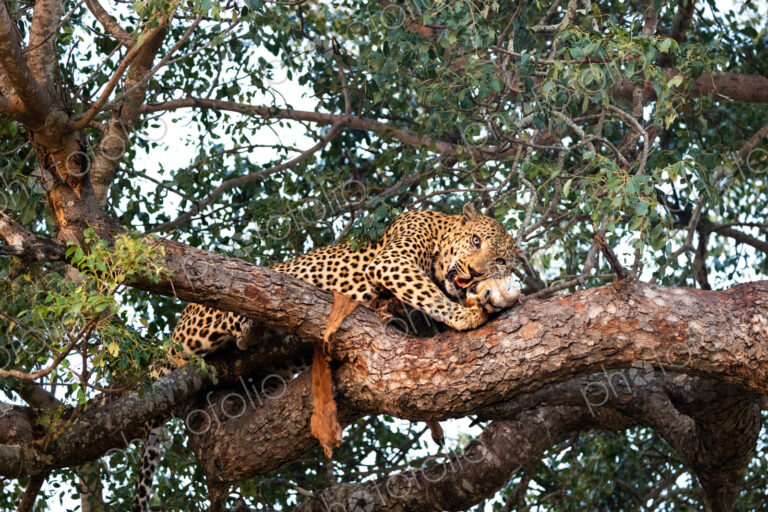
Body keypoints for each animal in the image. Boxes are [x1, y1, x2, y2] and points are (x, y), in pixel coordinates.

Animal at [131, 203, 524, 512]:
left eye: (500, 260)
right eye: (475, 241)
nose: (475, 272)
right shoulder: (392, 261)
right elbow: (430, 295)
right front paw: (465, 316)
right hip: (199, 330)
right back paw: (247, 324)